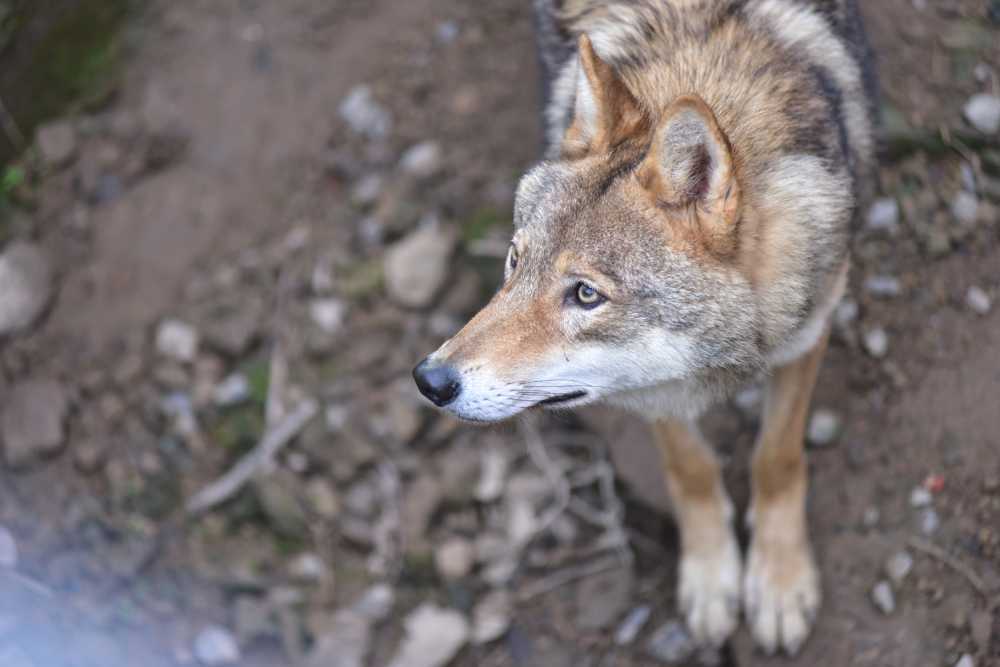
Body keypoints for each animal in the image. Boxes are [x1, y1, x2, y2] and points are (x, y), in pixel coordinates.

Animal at [414, 0, 876, 656]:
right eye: (514, 261)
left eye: (586, 294)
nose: (429, 380)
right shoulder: (649, 388)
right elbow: (691, 467)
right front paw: (712, 579)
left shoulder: (811, 326)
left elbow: (777, 456)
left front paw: (779, 582)